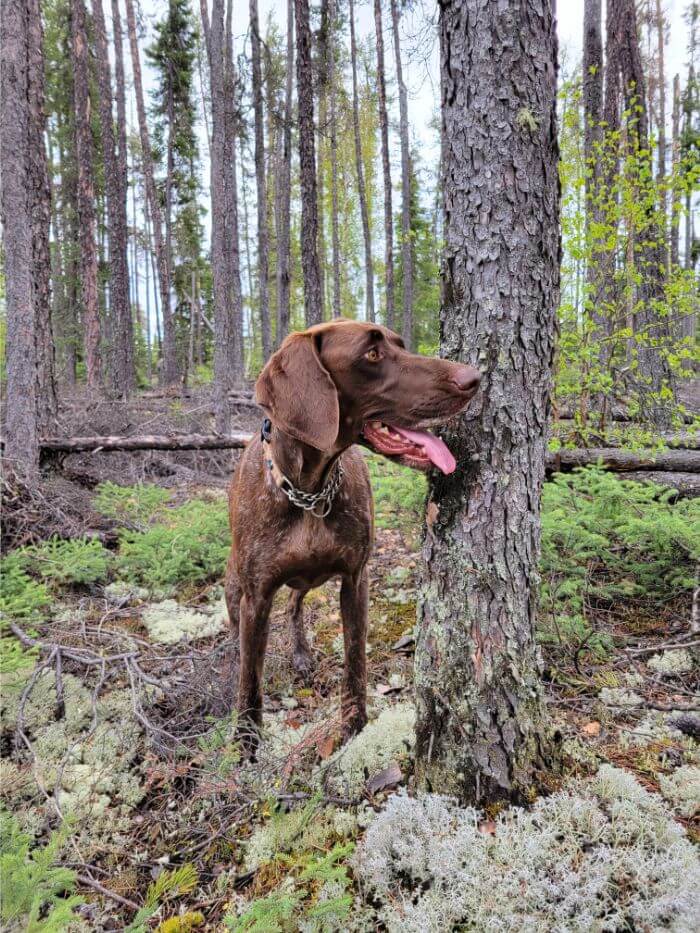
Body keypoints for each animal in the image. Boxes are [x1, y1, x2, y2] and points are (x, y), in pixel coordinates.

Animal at [227, 320, 478, 744]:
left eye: (401, 345)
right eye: (372, 354)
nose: (473, 378)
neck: (309, 492)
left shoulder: (355, 579)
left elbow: (355, 659)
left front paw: (353, 726)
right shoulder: (256, 597)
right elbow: (249, 684)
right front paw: (245, 744)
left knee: (294, 605)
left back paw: (300, 652)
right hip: (235, 584)